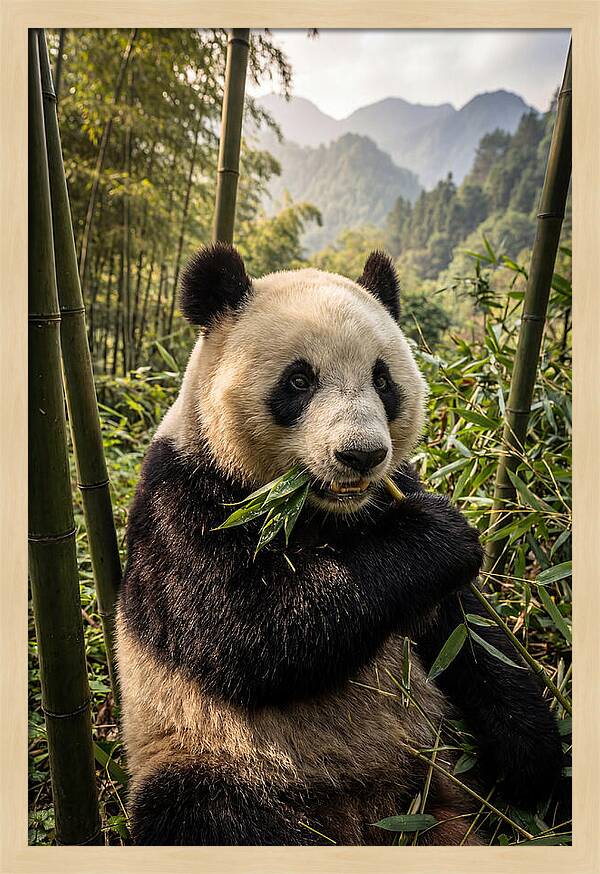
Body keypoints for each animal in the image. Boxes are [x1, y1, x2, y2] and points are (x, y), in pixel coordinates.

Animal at [116, 243, 563, 846]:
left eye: (383, 380)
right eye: (299, 380)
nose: (361, 454)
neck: (319, 510)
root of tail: (371, 814)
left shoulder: (393, 496)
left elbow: (471, 636)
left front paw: (532, 759)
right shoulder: (184, 499)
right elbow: (245, 630)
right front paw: (438, 535)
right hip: (213, 754)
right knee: (207, 814)